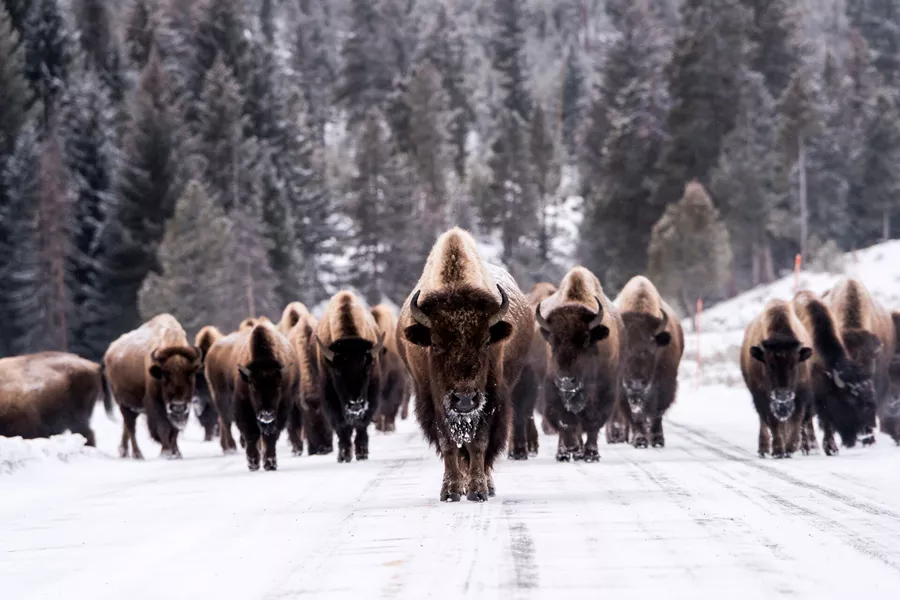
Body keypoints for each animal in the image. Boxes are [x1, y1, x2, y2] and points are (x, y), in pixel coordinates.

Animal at [104, 314, 203, 459]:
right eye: (164, 375)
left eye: (190, 374)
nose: (178, 406)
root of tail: (110, 351)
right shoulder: (157, 404)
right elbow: (163, 428)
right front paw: (165, 452)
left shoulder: (184, 407)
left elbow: (174, 431)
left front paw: (177, 453)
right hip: (123, 404)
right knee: (131, 427)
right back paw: (137, 454)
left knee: (127, 427)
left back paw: (124, 452)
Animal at [398, 227, 532, 501]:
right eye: (435, 344)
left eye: (486, 342)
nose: (464, 399)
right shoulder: (435, 400)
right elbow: (449, 443)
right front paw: (450, 490)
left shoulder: (490, 399)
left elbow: (479, 443)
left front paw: (478, 490)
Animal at [536, 267, 622, 462]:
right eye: (552, 341)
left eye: (586, 339)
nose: (567, 381)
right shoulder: (552, 391)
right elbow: (565, 422)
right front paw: (569, 449)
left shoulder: (604, 392)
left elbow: (592, 424)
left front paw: (591, 454)